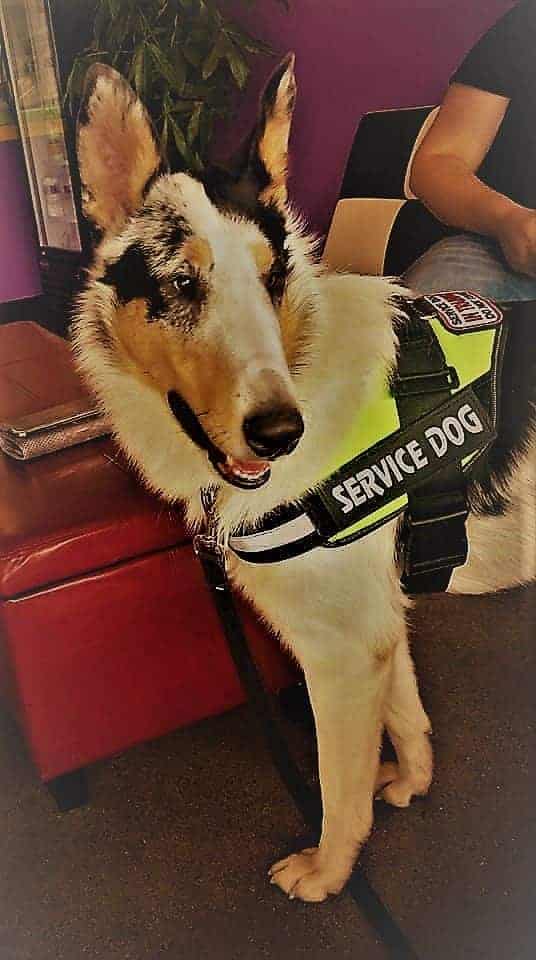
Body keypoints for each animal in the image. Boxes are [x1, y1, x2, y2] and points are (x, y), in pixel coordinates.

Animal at [72, 58, 536, 900]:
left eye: (272, 282)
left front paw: (330, 870)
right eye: (183, 286)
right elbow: (407, 719)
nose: (280, 434)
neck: (303, 370)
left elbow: (338, 785)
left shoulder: (339, 654)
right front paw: (411, 784)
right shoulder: (377, 629)